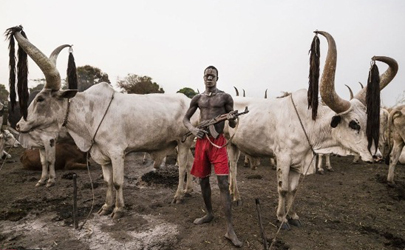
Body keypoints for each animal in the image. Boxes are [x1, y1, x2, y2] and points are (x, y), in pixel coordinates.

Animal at [6, 25, 196, 219]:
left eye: (41, 99)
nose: (19, 125)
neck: (91, 114)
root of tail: (188, 100)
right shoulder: (103, 157)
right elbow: (108, 182)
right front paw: (106, 207)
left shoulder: (117, 153)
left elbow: (118, 182)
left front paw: (118, 209)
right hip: (181, 143)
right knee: (190, 163)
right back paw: (187, 191)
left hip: (184, 142)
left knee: (182, 167)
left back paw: (179, 195)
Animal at [224, 30, 398, 229]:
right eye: (354, 123)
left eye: (368, 120)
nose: (376, 156)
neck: (308, 124)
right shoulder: (283, 158)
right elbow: (283, 189)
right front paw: (281, 218)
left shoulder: (299, 161)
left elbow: (293, 190)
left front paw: (292, 215)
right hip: (228, 144)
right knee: (233, 168)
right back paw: (236, 197)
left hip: (236, 145)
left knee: (233, 167)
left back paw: (234, 193)